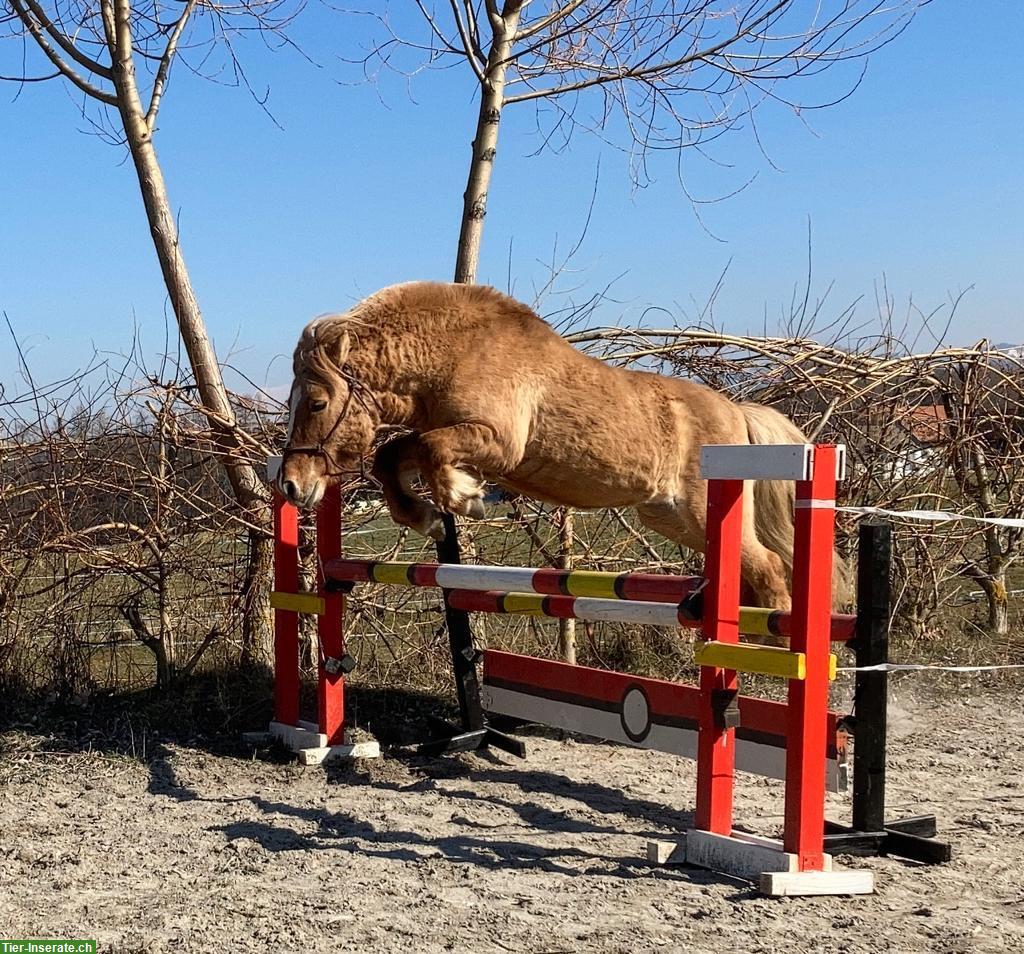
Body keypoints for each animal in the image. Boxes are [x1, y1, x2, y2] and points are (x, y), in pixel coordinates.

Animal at [276, 282, 843, 610]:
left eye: (318, 403)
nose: (292, 485)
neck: (456, 350)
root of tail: (736, 412)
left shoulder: (495, 443)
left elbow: (432, 451)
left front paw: (462, 499)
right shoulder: (448, 433)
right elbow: (391, 455)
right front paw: (428, 518)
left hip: (705, 510)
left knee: (766, 567)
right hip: (671, 517)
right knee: (751, 567)